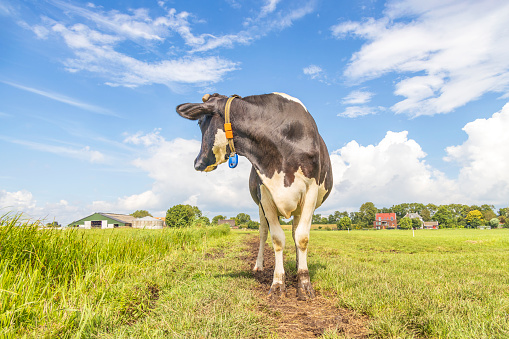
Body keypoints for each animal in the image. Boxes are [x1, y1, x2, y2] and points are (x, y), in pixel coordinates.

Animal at [176, 92, 334, 300]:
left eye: (200, 122)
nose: (197, 163)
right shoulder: (265, 193)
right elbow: (277, 238)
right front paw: (278, 283)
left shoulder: (311, 190)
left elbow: (302, 238)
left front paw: (304, 283)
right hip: (261, 208)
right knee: (263, 233)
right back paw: (259, 265)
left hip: (299, 207)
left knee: (295, 232)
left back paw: (298, 263)